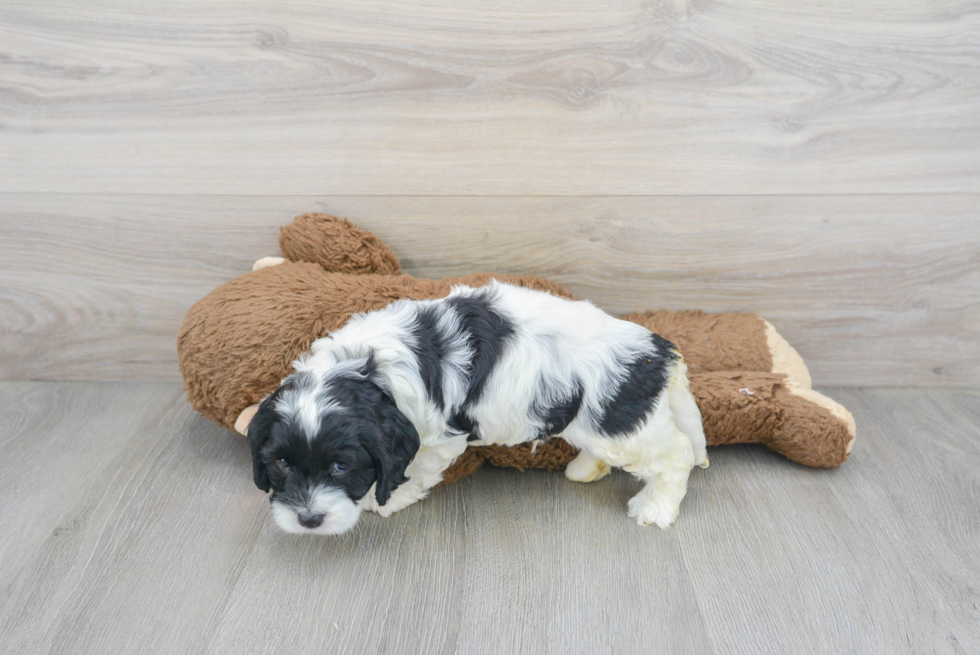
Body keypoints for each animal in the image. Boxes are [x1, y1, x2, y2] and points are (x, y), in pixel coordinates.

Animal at [245, 280, 704, 536]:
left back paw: (656, 508)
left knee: (676, 452)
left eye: (341, 467)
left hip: (619, 425)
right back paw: (584, 468)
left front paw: (387, 501)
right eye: (281, 463)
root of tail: (661, 352)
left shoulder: (433, 438)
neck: (364, 367)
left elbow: (413, 471)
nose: (308, 520)